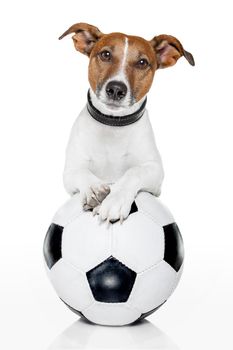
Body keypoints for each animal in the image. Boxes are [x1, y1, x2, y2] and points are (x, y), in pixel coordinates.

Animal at [58, 22, 195, 224]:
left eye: (142, 63)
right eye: (105, 54)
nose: (116, 89)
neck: (113, 126)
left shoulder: (155, 173)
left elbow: (134, 171)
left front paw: (115, 199)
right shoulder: (70, 171)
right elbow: (81, 173)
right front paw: (94, 189)